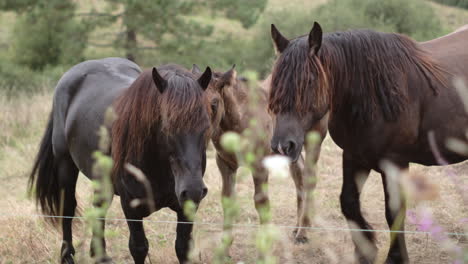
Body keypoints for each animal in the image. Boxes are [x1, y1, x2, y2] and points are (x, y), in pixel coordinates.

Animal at [28, 58, 213, 264]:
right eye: (166, 128)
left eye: (206, 126)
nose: (193, 189)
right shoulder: (130, 206)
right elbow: (139, 247)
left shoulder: (187, 207)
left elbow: (182, 247)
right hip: (65, 165)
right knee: (67, 208)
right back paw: (67, 255)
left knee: (99, 206)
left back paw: (100, 255)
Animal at [192, 64, 328, 243]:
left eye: (214, 103)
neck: (240, 122)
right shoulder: (225, 163)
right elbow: (228, 200)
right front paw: (226, 245)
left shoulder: (260, 164)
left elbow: (261, 201)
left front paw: (265, 242)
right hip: (292, 150)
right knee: (299, 177)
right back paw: (297, 228)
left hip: (314, 139)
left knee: (309, 178)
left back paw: (303, 232)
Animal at [266, 23, 468, 264]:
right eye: (275, 84)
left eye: (308, 82)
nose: (282, 146)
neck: (372, 95)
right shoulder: (354, 157)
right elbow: (348, 203)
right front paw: (365, 250)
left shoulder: (395, 163)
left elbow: (394, 212)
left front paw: (396, 257)